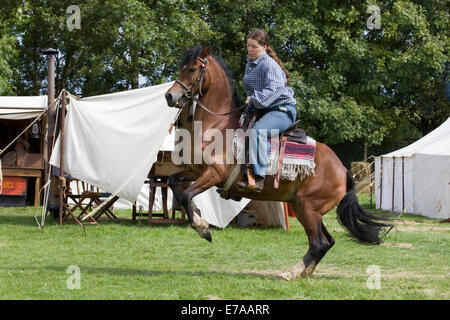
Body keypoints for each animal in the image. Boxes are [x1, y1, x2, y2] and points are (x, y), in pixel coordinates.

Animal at [165, 46, 394, 278]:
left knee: (318, 243)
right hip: (305, 209)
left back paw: (291, 273)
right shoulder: (195, 170)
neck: (219, 127)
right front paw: (198, 216)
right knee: (327, 241)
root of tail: (342, 170)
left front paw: (203, 228)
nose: (169, 95)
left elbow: (186, 195)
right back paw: (303, 272)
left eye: (192, 69)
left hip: (308, 208)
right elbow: (174, 184)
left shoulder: (214, 174)